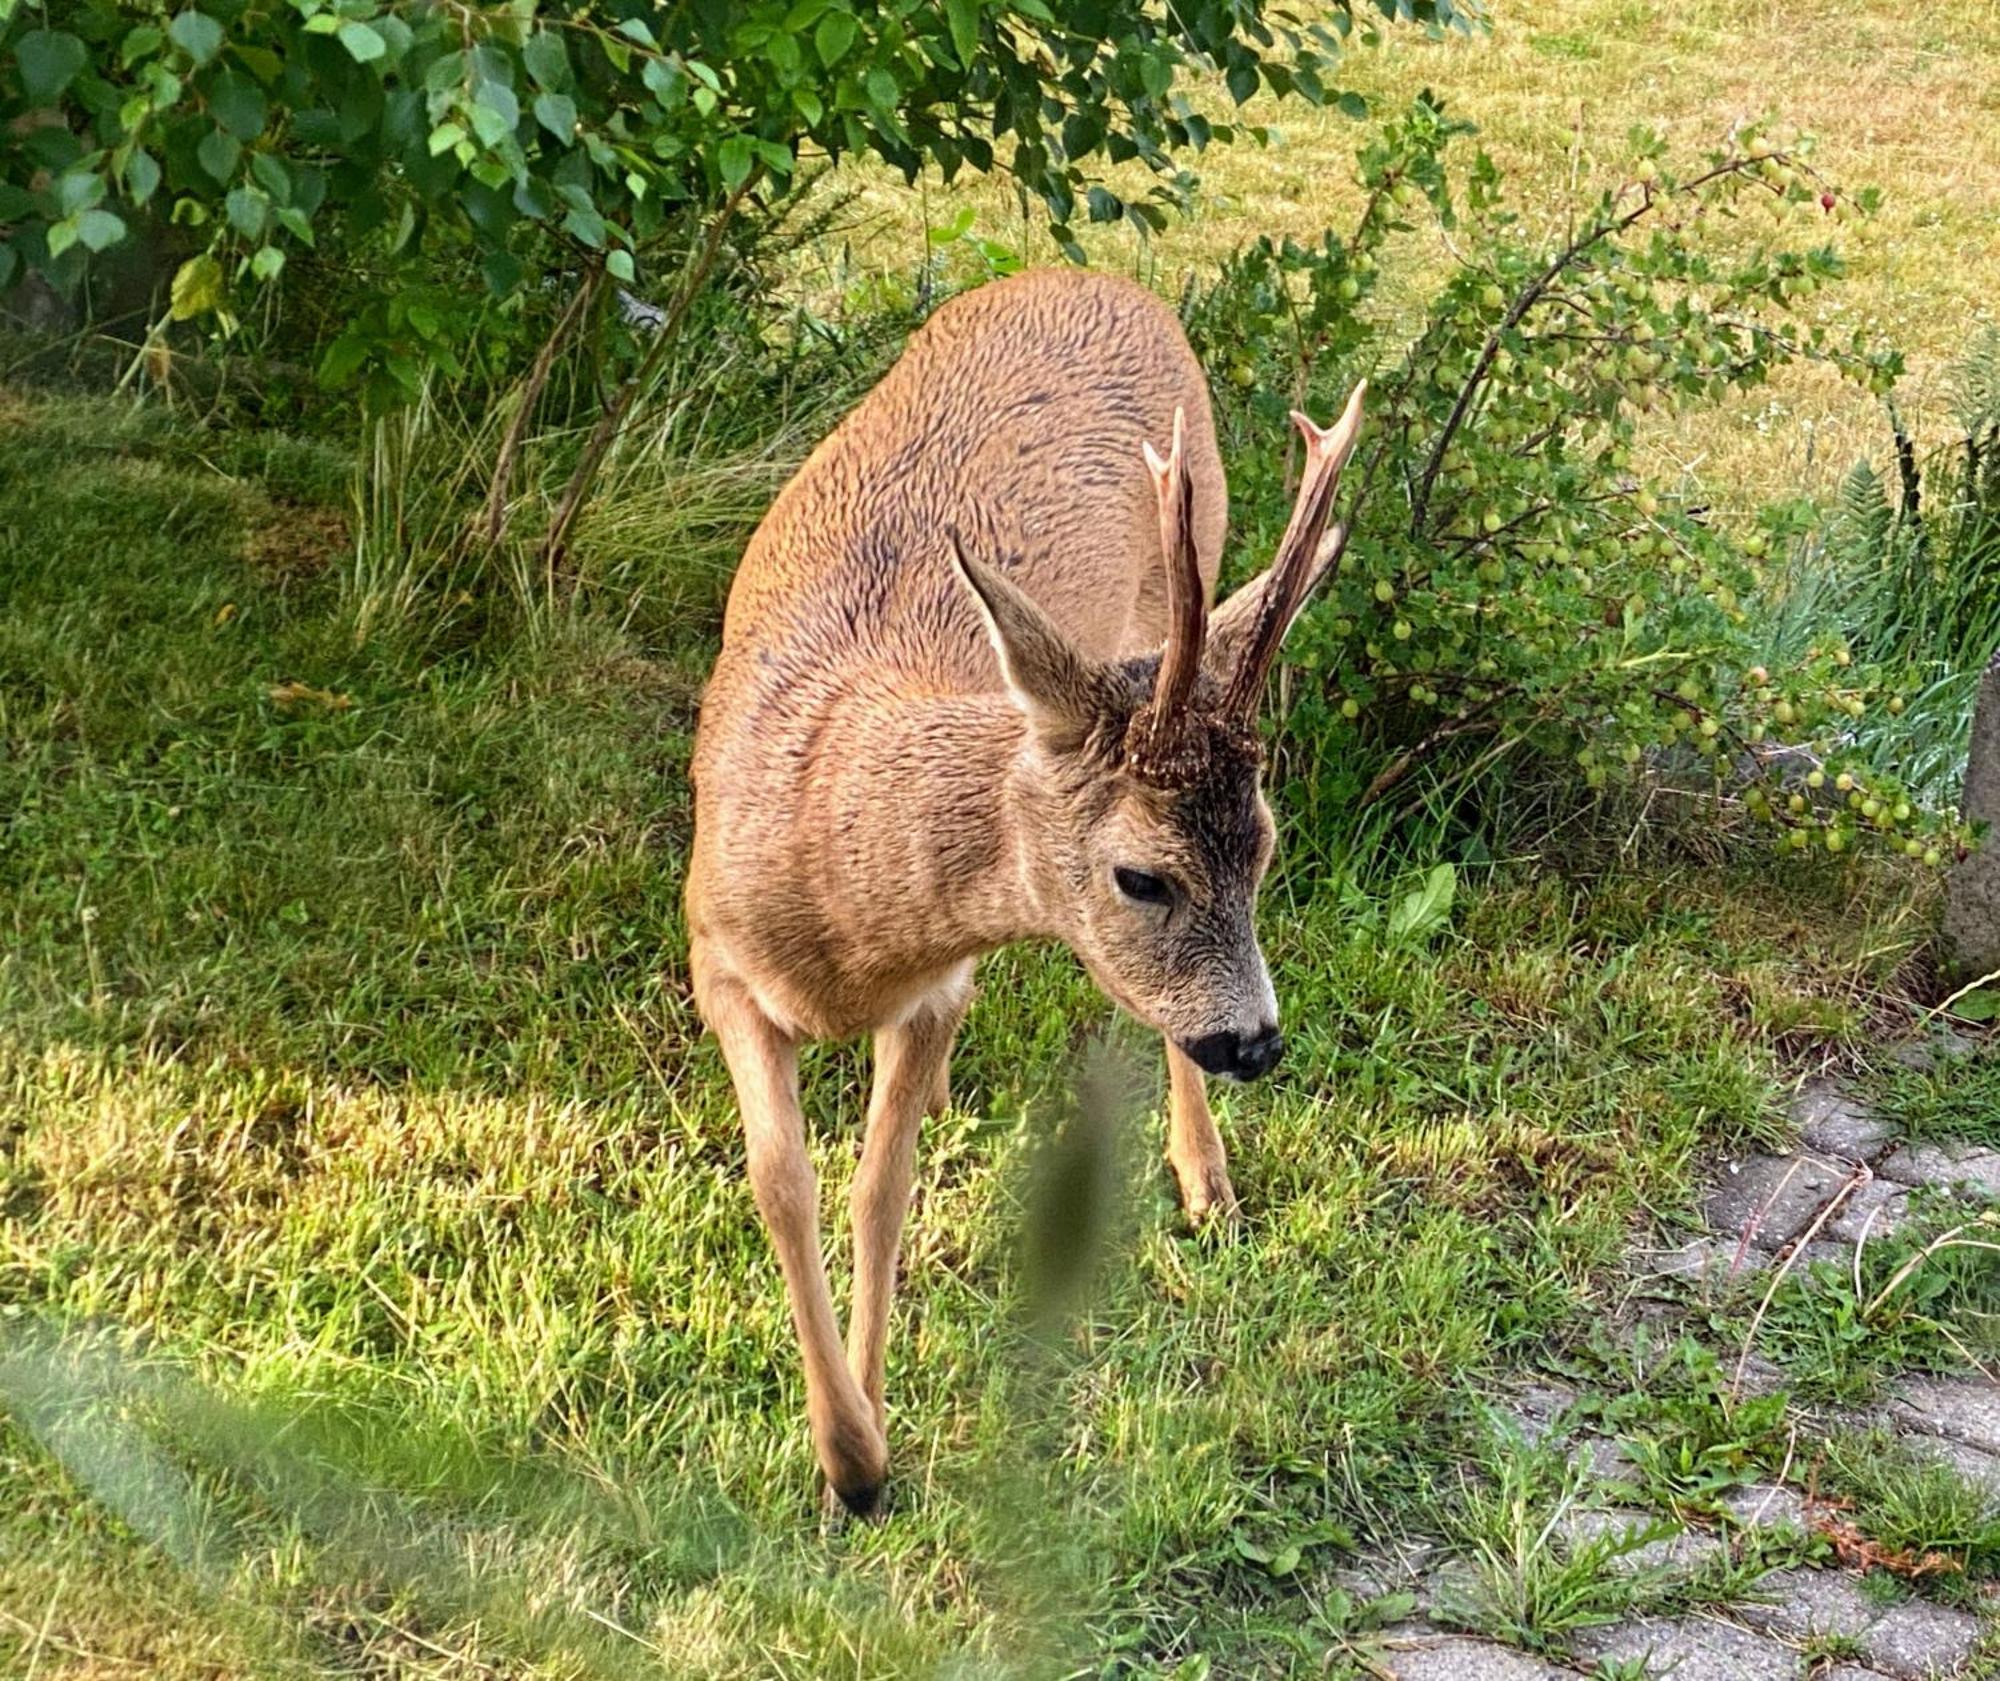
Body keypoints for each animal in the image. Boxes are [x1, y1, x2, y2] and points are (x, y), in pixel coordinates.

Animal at [688, 266, 1360, 1520]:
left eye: (1266, 847)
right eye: (1140, 874)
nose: (1256, 1042)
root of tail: (1097, 277)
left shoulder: (932, 990)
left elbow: (878, 1190)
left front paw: (863, 1454)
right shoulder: (714, 955)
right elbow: (783, 1182)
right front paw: (844, 1458)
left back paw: (1207, 1184)